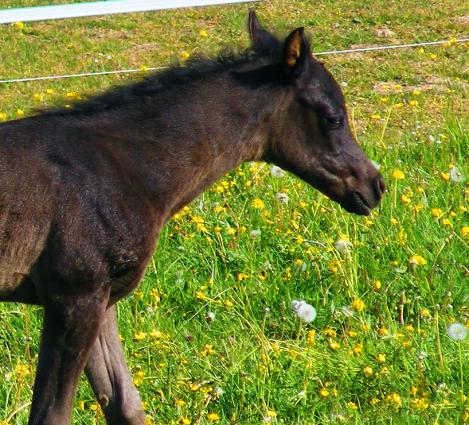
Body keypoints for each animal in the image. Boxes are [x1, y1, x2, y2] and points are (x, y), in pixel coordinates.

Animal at [0, 11, 384, 422]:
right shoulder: (73, 297)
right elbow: (53, 413)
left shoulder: (102, 300)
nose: (374, 185)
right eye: (332, 118)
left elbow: (126, 404)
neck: (126, 169)